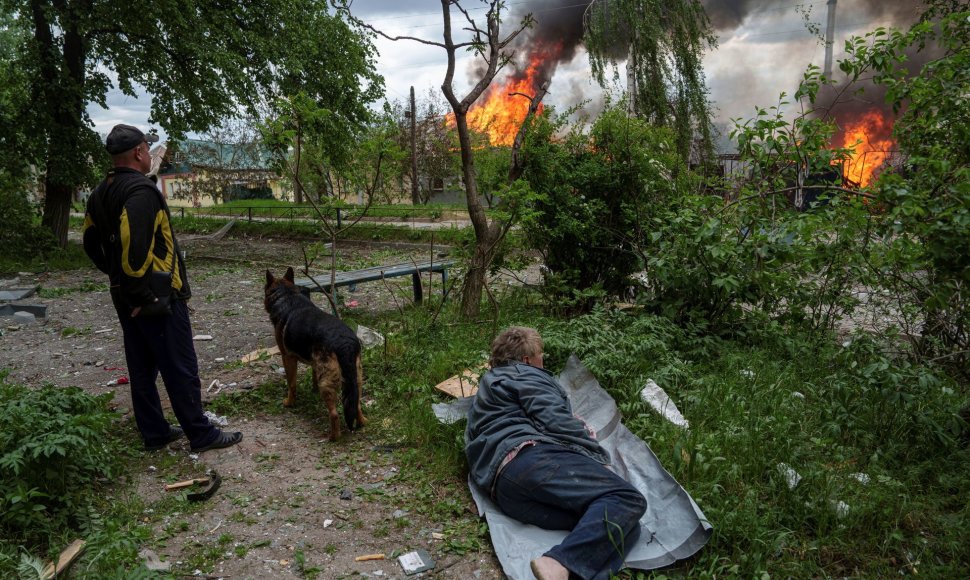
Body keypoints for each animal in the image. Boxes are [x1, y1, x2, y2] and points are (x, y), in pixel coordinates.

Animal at [262, 268, 364, 440]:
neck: (287, 296)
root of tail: (345, 343)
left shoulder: (287, 357)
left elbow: (292, 384)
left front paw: (289, 403)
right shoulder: (314, 364)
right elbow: (313, 377)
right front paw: (313, 391)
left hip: (328, 383)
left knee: (334, 414)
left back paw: (333, 437)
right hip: (355, 378)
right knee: (356, 404)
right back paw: (362, 422)